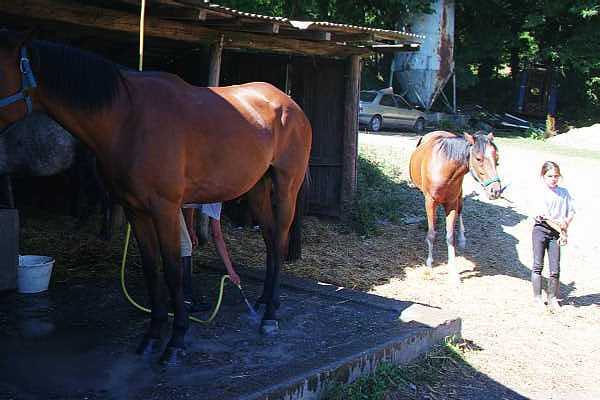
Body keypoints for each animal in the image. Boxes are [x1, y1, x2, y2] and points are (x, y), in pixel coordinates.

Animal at [0, 30, 312, 362]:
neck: (127, 119)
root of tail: (289, 103)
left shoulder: (165, 209)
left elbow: (173, 270)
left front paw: (176, 341)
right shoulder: (135, 210)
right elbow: (152, 270)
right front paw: (152, 336)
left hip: (286, 187)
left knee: (278, 241)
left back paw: (270, 317)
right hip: (256, 189)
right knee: (269, 240)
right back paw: (265, 301)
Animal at [408, 131, 502, 284]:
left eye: (497, 159)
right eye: (478, 159)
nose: (495, 191)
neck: (443, 167)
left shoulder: (451, 203)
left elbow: (450, 236)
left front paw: (453, 273)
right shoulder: (430, 202)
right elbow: (432, 234)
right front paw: (429, 265)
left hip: (459, 195)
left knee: (461, 210)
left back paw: (462, 239)